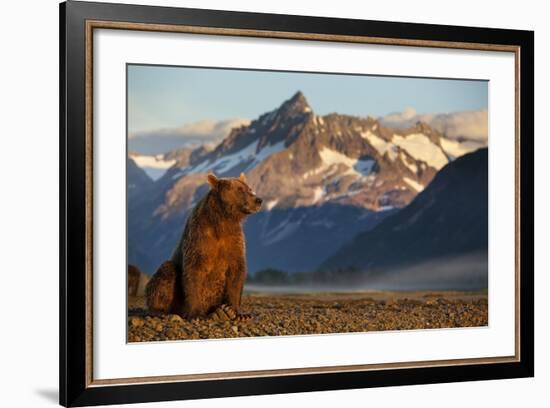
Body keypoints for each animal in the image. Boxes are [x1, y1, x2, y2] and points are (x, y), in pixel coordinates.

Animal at [147, 172, 264, 318]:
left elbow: (236, 272)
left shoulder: (234, 240)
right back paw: (160, 311)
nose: (258, 200)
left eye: (249, 188)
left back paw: (221, 312)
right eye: (240, 189)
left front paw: (236, 311)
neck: (223, 219)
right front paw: (196, 314)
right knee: (166, 273)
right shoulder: (200, 239)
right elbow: (194, 271)